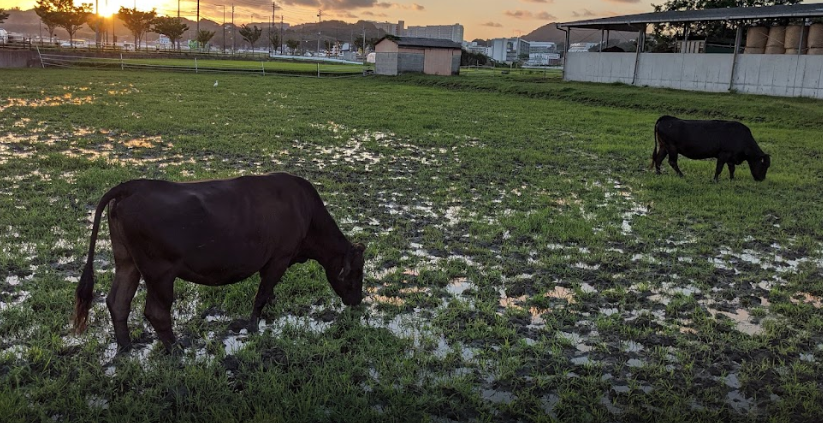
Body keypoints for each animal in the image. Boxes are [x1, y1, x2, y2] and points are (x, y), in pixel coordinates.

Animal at [73, 171, 364, 352]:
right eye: (355, 273)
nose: (357, 301)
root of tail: (131, 186)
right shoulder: (280, 257)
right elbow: (262, 294)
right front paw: (253, 326)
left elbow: (268, 292)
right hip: (159, 271)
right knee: (156, 311)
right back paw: (176, 349)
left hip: (127, 261)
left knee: (118, 302)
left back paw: (125, 347)